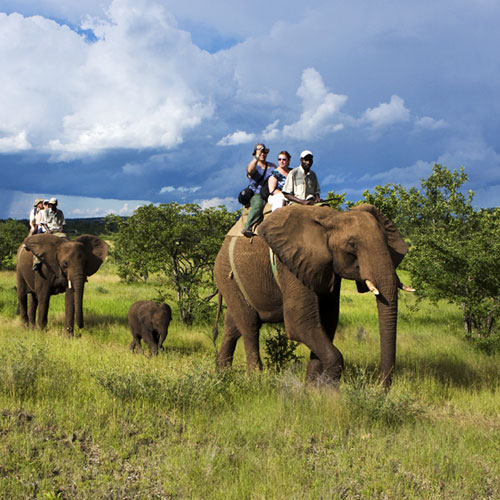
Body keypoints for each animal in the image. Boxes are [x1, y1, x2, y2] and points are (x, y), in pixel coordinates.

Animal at [213, 204, 412, 390]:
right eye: (351, 245)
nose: (380, 390)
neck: (333, 218)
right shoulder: (290, 263)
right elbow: (300, 323)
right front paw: (329, 394)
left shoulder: (327, 268)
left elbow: (327, 321)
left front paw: (311, 391)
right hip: (226, 275)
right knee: (249, 327)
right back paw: (255, 380)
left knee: (233, 326)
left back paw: (223, 375)